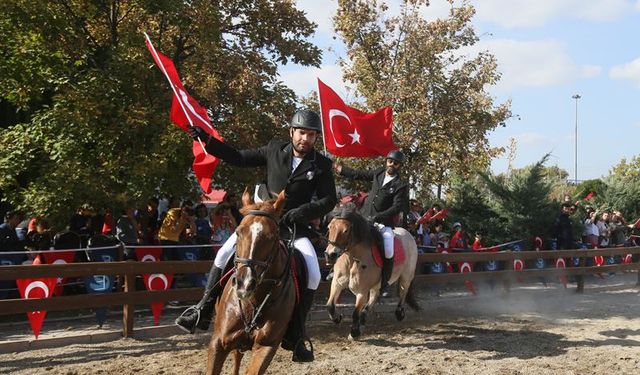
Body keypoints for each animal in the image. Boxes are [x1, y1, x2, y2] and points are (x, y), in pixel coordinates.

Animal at [205, 191, 296, 375]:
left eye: (272, 236)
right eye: (238, 232)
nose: (244, 284)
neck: (253, 301)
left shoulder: (266, 347)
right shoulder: (218, 342)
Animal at [324, 204, 420, 340]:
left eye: (346, 230)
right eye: (329, 227)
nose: (330, 255)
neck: (352, 259)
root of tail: (408, 233)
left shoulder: (361, 291)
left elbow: (355, 313)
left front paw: (354, 333)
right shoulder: (337, 284)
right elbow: (330, 305)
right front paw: (338, 318)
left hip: (406, 276)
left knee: (403, 292)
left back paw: (399, 313)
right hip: (378, 284)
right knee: (373, 298)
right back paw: (363, 320)